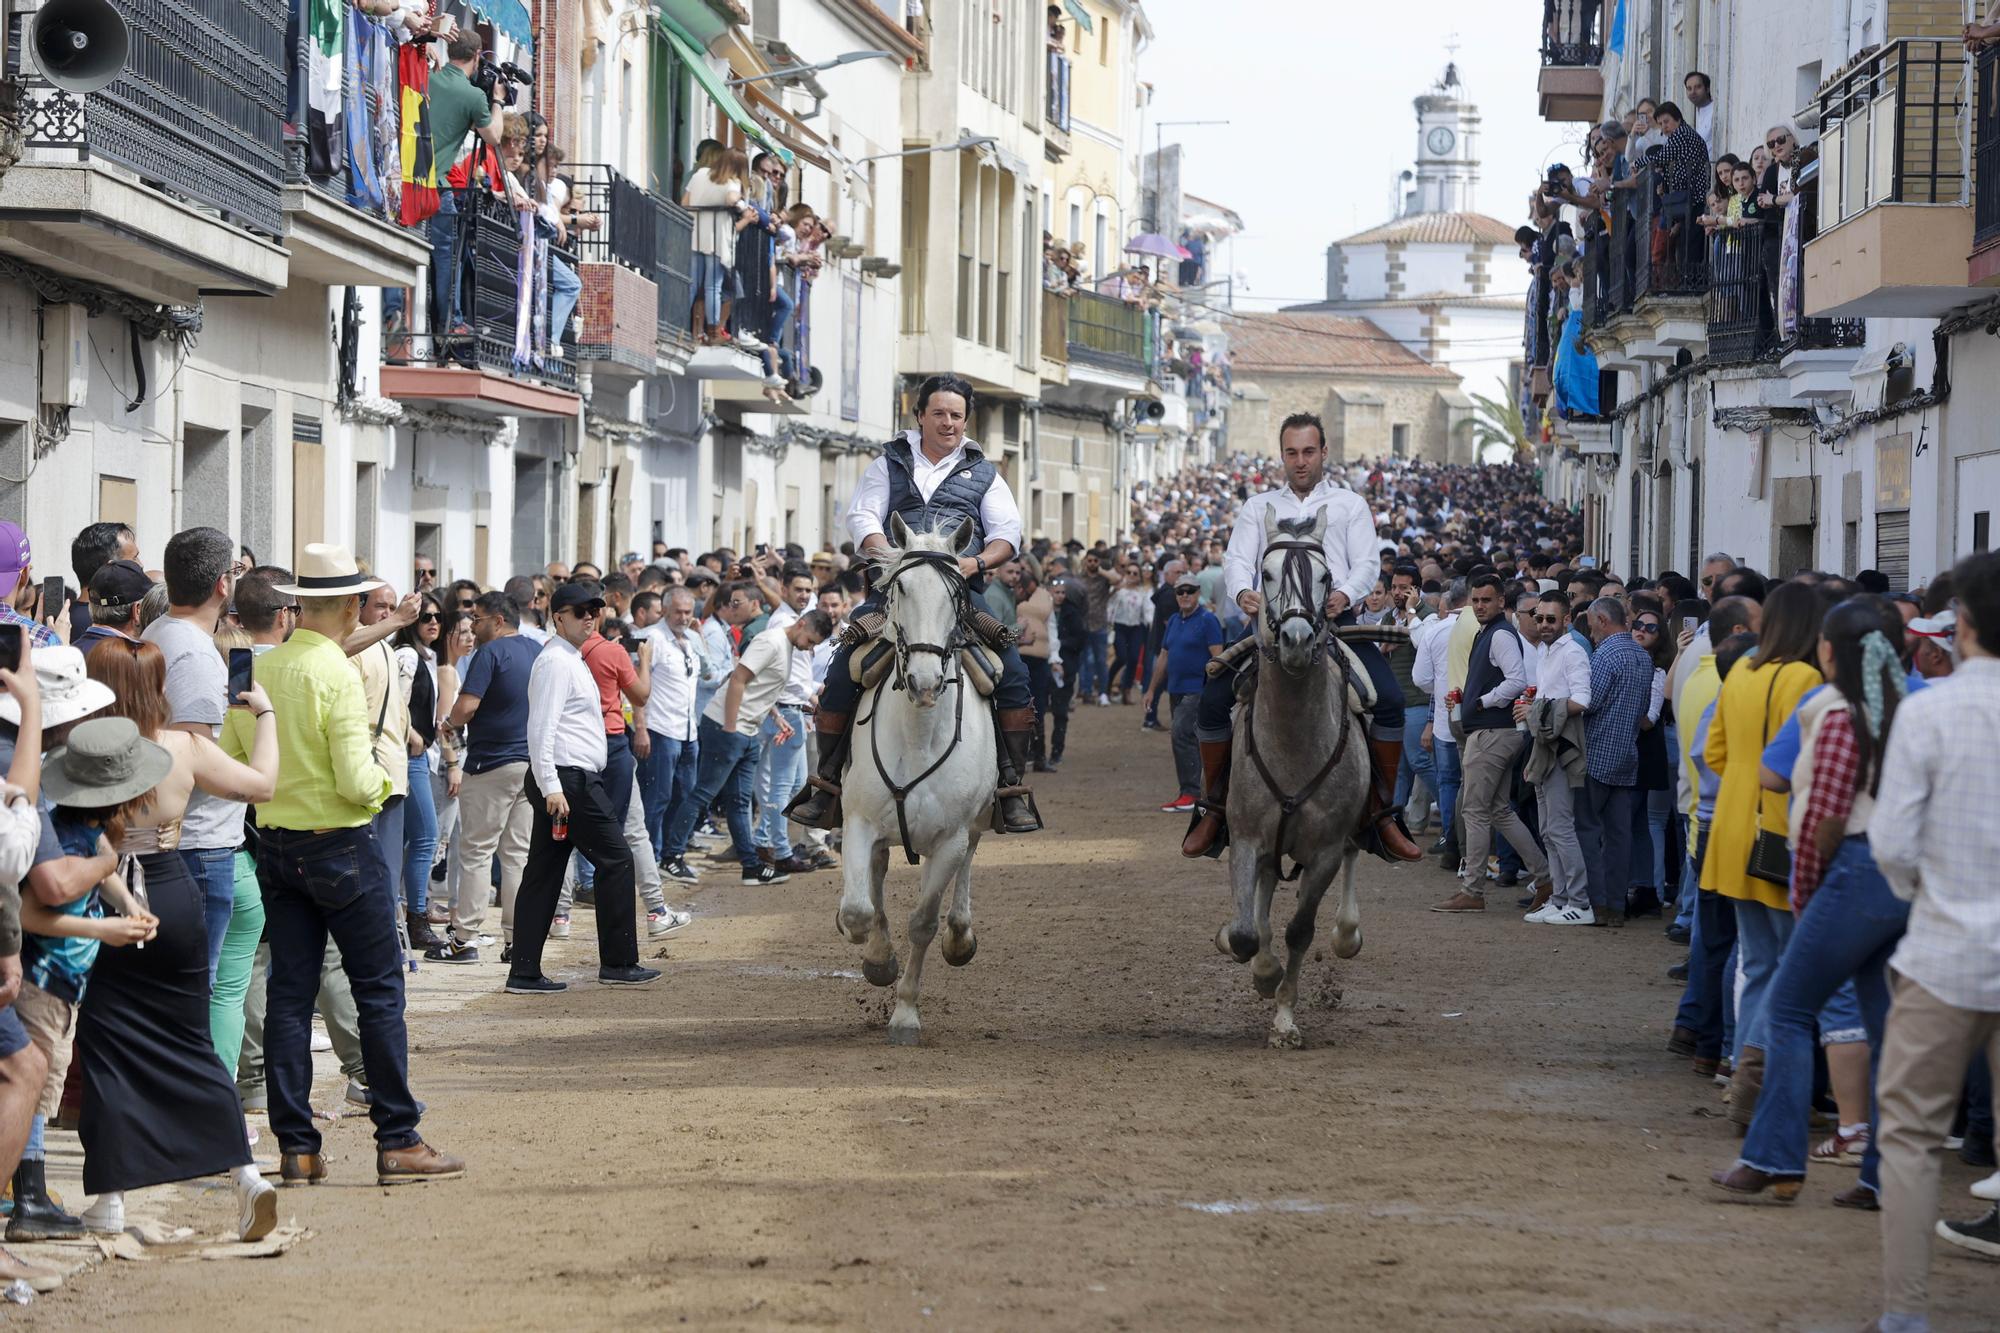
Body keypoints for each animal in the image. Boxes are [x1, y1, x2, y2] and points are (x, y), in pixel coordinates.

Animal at [832, 512, 996, 1040]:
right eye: (900, 588)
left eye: (956, 594)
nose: (925, 682)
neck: (919, 735)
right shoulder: (860, 822)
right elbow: (860, 909)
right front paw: (876, 960)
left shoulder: (949, 839)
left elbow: (923, 922)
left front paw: (905, 1014)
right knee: (878, 874)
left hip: (977, 822)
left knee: (969, 863)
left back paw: (961, 937)